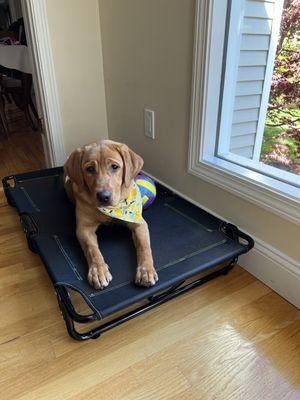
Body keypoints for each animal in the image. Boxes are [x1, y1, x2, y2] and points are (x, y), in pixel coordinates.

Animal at [64, 141, 158, 290]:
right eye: (90, 169)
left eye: (115, 167)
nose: (104, 196)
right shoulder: (83, 229)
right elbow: (92, 249)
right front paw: (98, 270)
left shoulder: (139, 222)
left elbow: (144, 246)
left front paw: (146, 270)